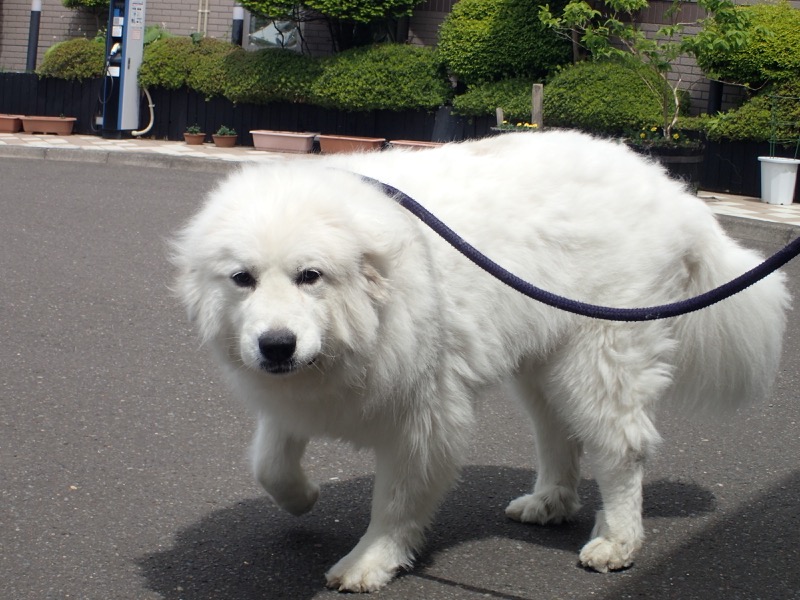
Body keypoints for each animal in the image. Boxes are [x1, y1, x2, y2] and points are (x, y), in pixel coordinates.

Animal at [172, 130, 792, 592]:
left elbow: (396, 502)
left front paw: (369, 561)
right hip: (545, 363)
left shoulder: (425, 415)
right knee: (558, 435)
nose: (276, 345)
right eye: (242, 279)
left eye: (310, 275)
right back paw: (549, 502)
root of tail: (673, 193)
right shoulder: (297, 397)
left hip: (598, 359)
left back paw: (617, 541)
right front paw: (304, 499)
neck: (373, 306)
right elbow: (269, 466)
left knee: (622, 450)